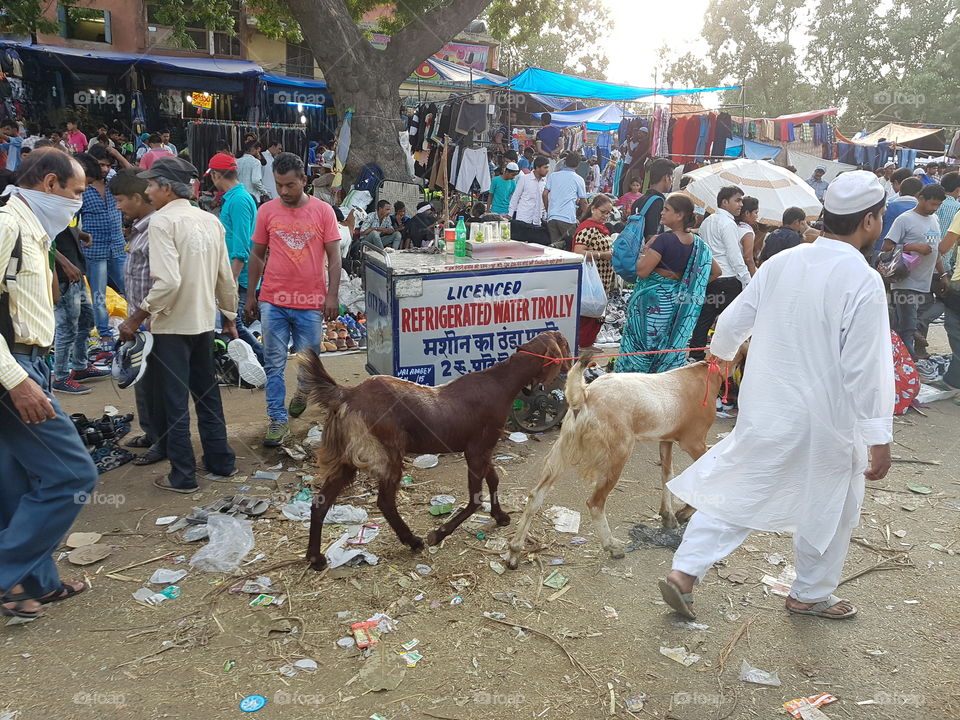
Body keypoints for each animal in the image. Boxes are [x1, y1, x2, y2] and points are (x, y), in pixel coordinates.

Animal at [298, 330, 568, 572]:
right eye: (564, 343)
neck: (502, 381)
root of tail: (348, 394)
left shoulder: (484, 449)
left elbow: (493, 480)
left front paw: (500, 516)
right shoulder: (476, 450)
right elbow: (475, 499)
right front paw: (439, 534)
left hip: (346, 458)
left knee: (320, 503)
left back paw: (315, 558)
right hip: (387, 453)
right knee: (385, 501)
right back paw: (412, 540)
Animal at [502, 348, 744, 568]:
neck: (708, 376)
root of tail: (583, 395)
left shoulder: (666, 439)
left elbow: (667, 474)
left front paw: (668, 516)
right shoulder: (694, 441)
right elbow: (710, 474)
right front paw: (684, 512)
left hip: (565, 446)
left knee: (536, 494)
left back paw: (514, 551)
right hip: (618, 450)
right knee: (595, 502)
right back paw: (613, 546)